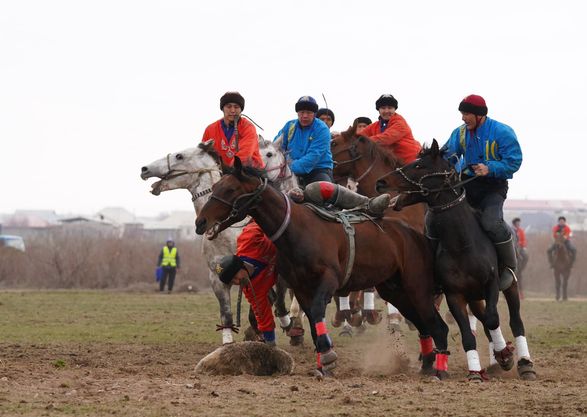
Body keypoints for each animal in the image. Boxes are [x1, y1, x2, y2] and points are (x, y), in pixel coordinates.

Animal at [141, 138, 298, 342]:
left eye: (179, 156)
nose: (145, 169)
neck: (230, 233)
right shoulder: (217, 279)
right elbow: (227, 314)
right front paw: (229, 341)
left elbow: (264, 302)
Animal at [195, 157, 448, 376]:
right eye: (215, 186)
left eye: (229, 189)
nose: (200, 222)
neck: (297, 229)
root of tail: (417, 235)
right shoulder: (301, 288)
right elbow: (311, 320)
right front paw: (322, 363)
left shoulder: (328, 281)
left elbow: (317, 312)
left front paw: (328, 356)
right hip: (394, 290)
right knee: (424, 324)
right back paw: (427, 364)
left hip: (416, 288)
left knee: (436, 324)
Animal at [376, 141, 536, 380]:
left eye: (419, 165)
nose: (382, 182)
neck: (463, 244)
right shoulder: (455, 295)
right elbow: (469, 333)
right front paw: (476, 371)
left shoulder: (491, 284)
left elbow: (493, 319)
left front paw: (504, 356)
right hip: (472, 296)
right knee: (481, 319)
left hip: (510, 285)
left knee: (515, 322)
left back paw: (525, 364)